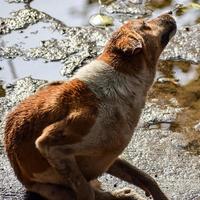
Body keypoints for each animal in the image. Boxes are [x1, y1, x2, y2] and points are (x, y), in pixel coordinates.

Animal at [3, 13, 177, 200]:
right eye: (144, 24)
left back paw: (125, 193)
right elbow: (86, 191)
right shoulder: (51, 144)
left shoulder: (110, 156)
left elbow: (147, 178)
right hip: (54, 188)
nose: (170, 13)